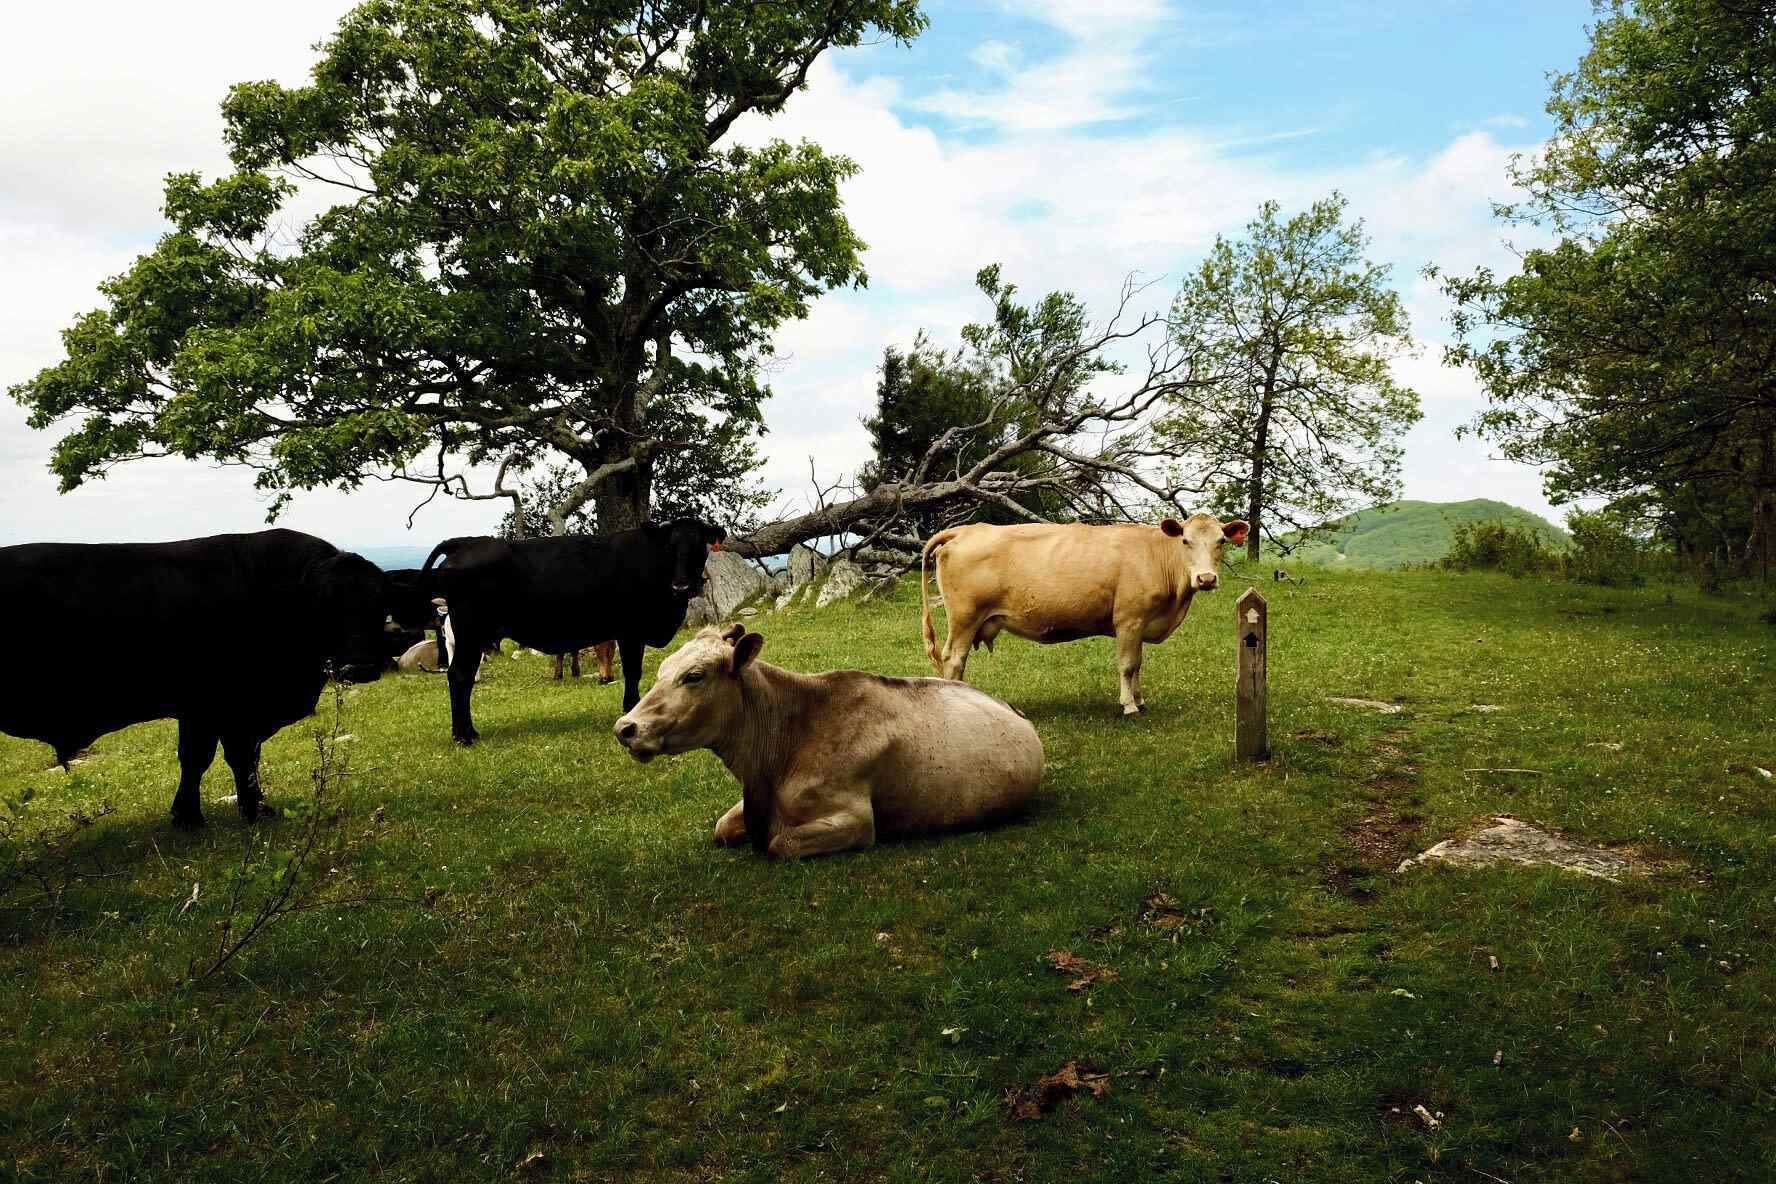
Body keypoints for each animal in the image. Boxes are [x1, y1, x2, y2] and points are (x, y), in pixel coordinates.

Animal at [0, 529, 389, 828]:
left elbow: (238, 760)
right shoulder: (211, 707)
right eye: (325, 604)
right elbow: (211, 758)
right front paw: (206, 815)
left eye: (379, 603)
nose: (359, 666)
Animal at [420, 517, 725, 744]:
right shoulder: (629, 630)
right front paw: (630, 710)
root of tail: (467, 542)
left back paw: (466, 732)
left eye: (699, 546)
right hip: (469, 633)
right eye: (670, 547)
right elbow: (632, 671)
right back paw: (464, 736)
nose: (682, 586)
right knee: (459, 675)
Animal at [613, 625, 1044, 858]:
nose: (625, 727)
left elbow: (780, 844)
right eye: (662, 669)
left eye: (694, 676)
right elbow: (721, 827)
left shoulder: (855, 820)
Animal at [919, 514, 1250, 716]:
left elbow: (1138, 665)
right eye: (1185, 541)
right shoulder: (1128, 620)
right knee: (954, 658)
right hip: (964, 618)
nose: (1206, 579)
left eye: (1221, 541)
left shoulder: (1141, 624)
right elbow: (1128, 665)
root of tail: (968, 529)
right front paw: (1129, 706)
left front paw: (1140, 700)